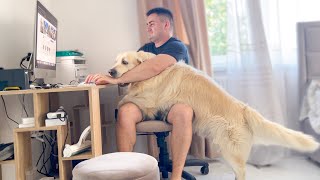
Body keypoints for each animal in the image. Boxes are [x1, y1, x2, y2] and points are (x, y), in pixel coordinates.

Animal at [110, 51, 318, 180]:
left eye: (125, 62)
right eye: (115, 61)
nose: (110, 71)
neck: (150, 72)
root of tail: (243, 109)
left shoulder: (151, 100)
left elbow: (128, 98)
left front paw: (118, 102)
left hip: (229, 150)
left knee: (242, 172)